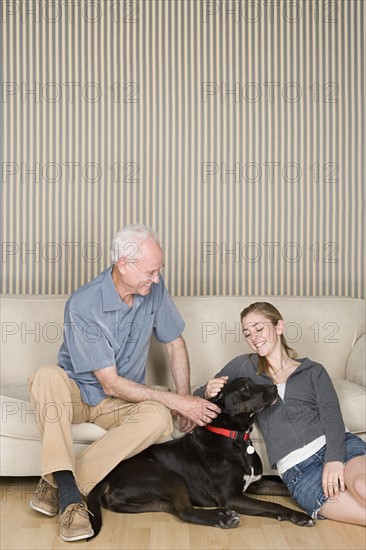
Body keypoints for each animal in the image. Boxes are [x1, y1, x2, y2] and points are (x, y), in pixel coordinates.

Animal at [87, 380, 314, 540]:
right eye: (245, 387)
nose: (274, 386)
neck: (235, 438)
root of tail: (108, 476)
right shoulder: (232, 497)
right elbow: (273, 504)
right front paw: (300, 515)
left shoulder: (256, 485)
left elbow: (283, 488)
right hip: (169, 477)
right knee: (185, 511)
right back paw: (221, 518)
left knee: (172, 507)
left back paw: (222, 514)